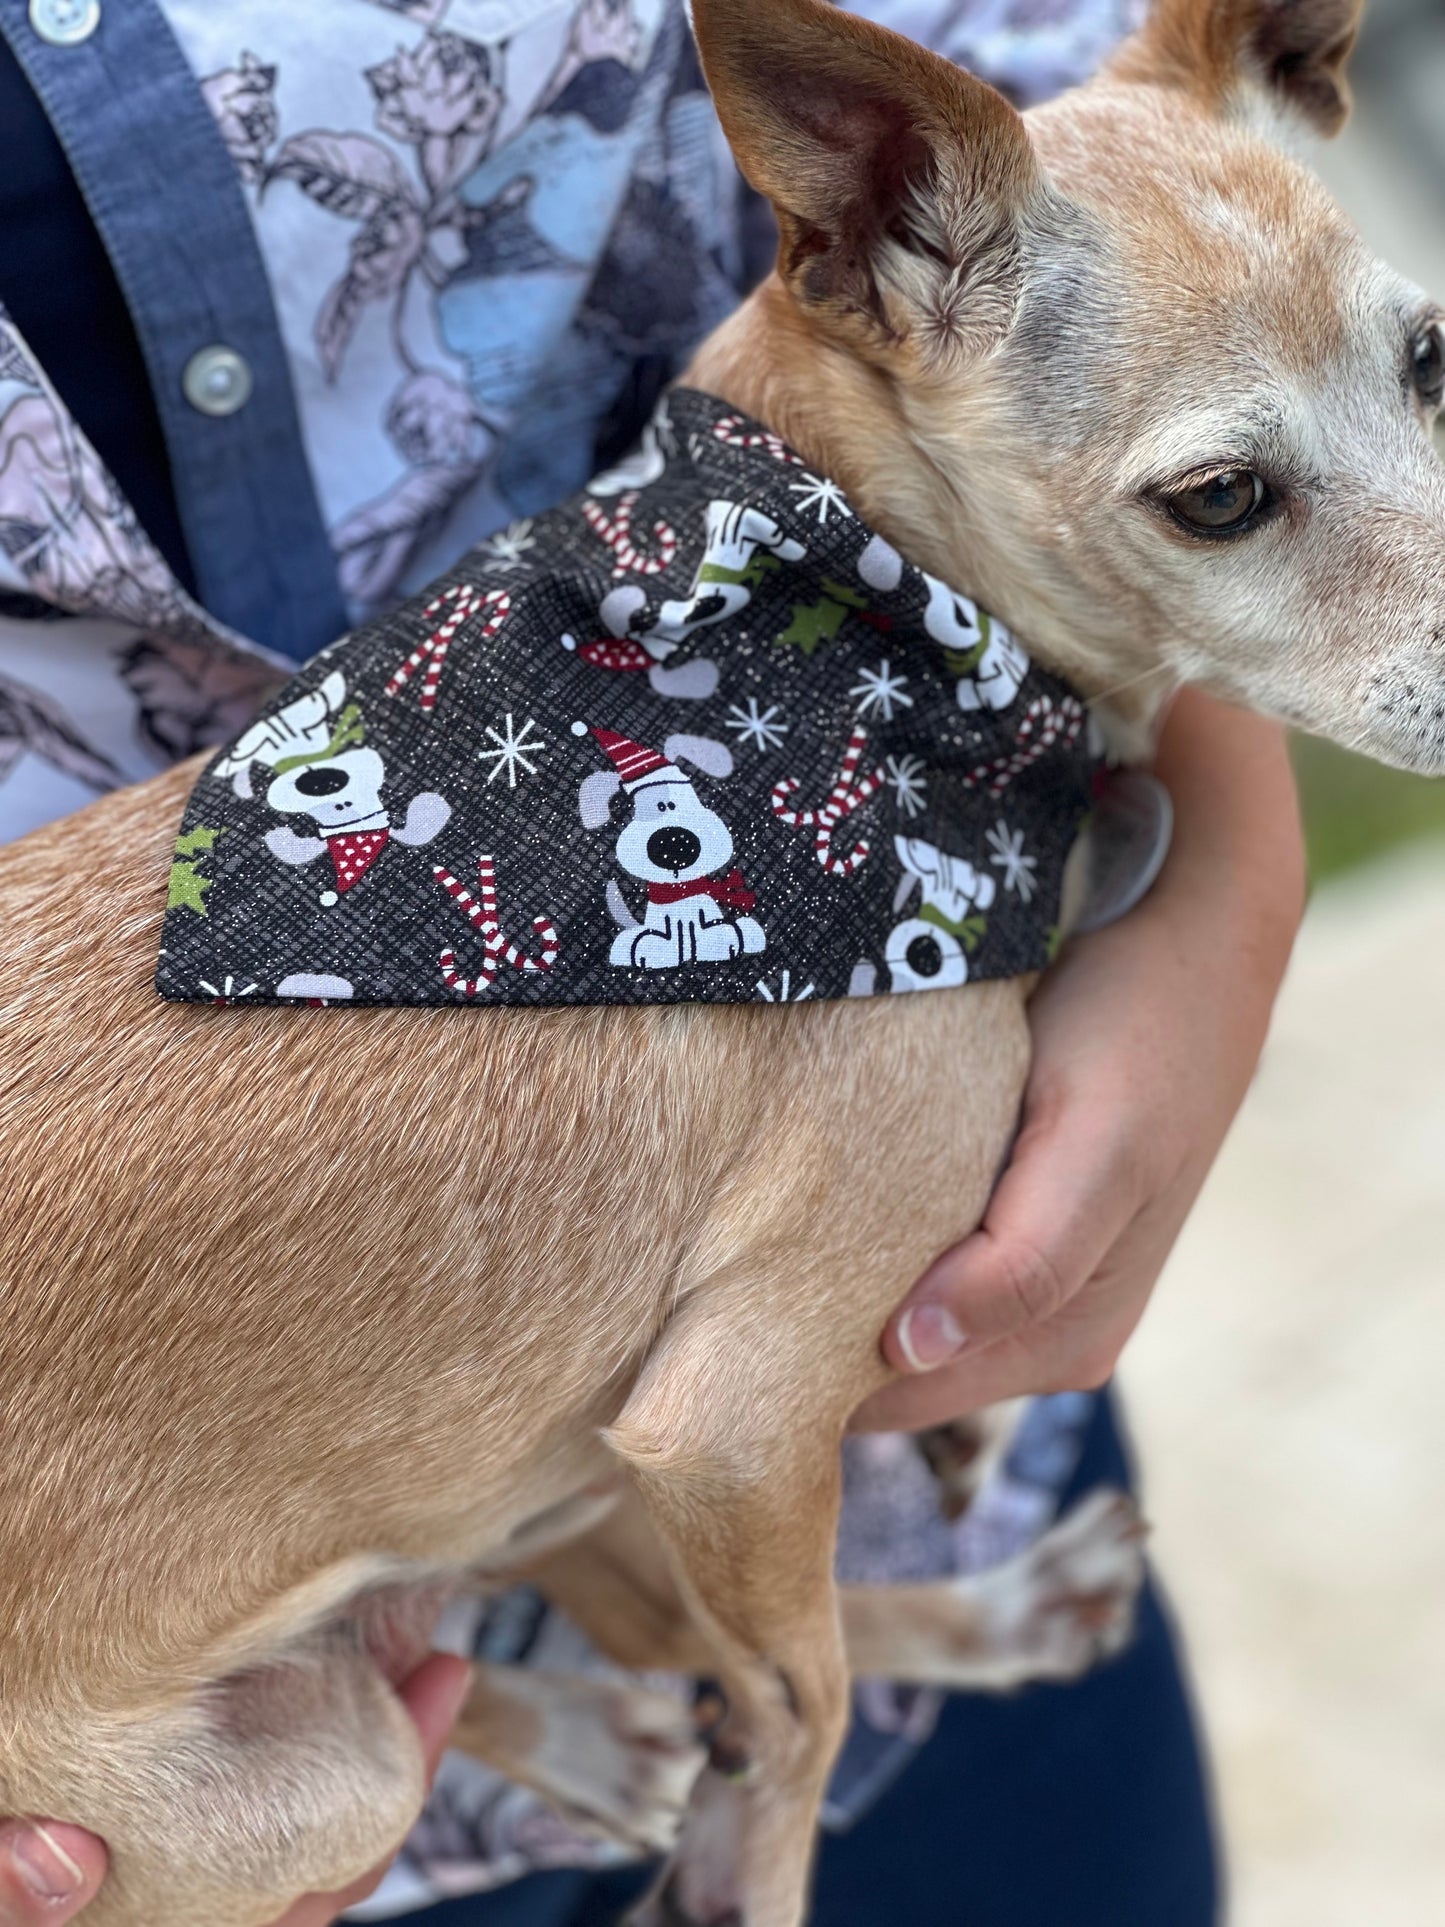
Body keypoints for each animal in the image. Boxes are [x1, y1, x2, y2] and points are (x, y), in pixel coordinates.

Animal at [2, 0, 1445, 1919]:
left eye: (1432, 357)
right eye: (1219, 497)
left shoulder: (695, 1440)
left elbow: (784, 1661)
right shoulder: (732, 1421)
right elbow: (801, 1698)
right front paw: (746, 1864)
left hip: (530, 1490)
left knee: (633, 1626)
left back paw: (958, 1615)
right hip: (306, 1784)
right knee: (601, 1672)